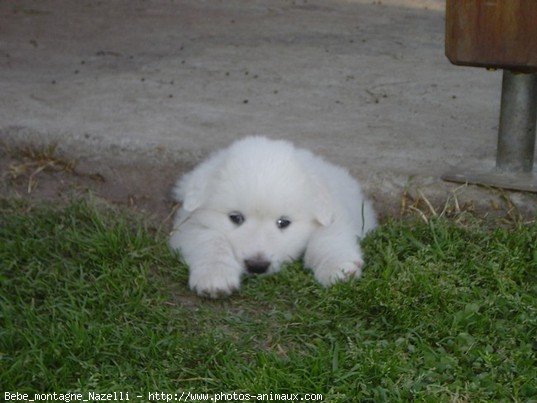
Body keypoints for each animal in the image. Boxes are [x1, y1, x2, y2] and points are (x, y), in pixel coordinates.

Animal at [170, 137, 374, 298]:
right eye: (235, 218)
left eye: (283, 222)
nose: (257, 266)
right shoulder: (188, 224)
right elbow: (211, 240)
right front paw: (215, 276)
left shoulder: (334, 215)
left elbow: (327, 238)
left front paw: (338, 269)